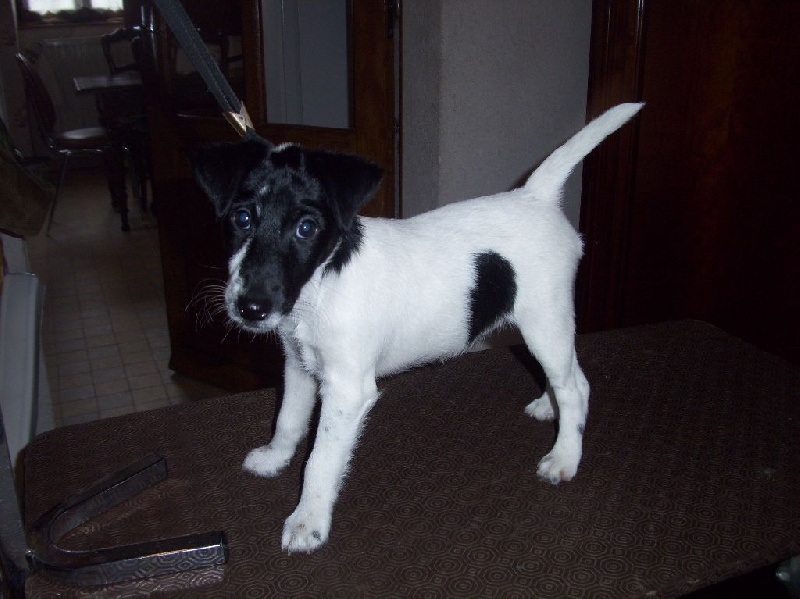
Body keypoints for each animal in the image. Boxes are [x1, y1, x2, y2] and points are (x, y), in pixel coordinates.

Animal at [191, 102, 643, 553]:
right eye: (242, 218)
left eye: (306, 228)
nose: (251, 308)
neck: (321, 283)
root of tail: (536, 197)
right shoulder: (299, 366)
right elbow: (288, 418)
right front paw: (275, 458)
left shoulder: (347, 391)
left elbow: (319, 460)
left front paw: (308, 521)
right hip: (530, 329)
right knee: (569, 376)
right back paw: (549, 406)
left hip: (545, 322)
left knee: (575, 387)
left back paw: (565, 456)